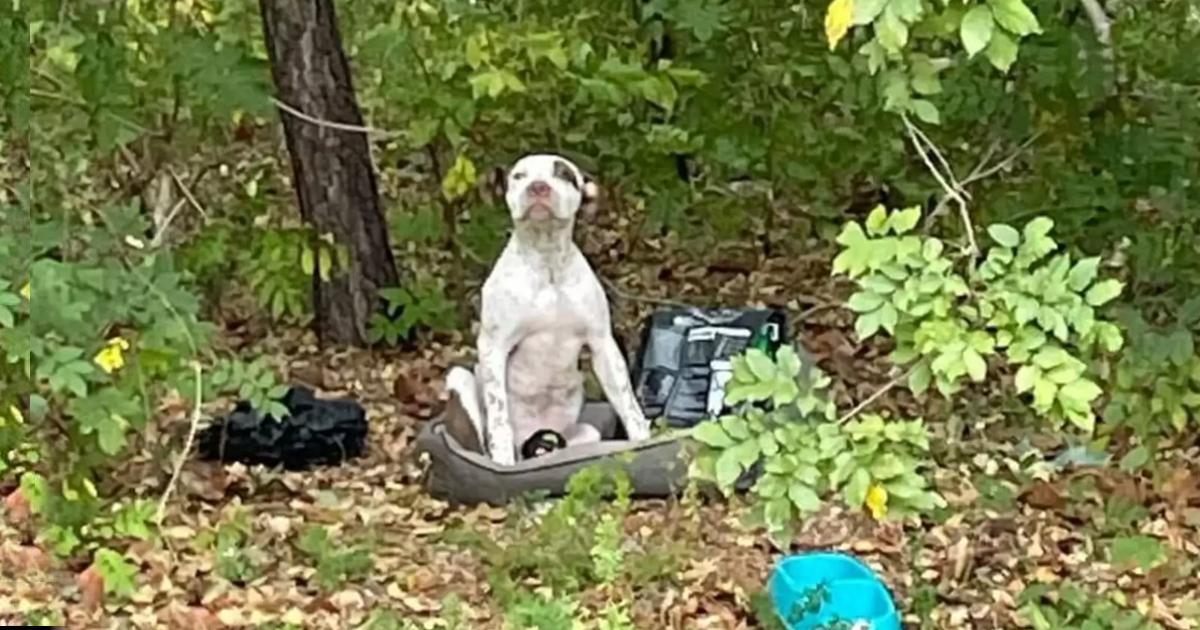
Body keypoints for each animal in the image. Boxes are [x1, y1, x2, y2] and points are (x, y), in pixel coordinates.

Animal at [444, 153, 652, 463]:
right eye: (519, 176)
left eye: (564, 174)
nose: (538, 187)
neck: (547, 262)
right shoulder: (493, 346)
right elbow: (498, 418)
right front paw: (502, 461)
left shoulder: (603, 344)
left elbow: (629, 404)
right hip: (460, 380)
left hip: (585, 433)